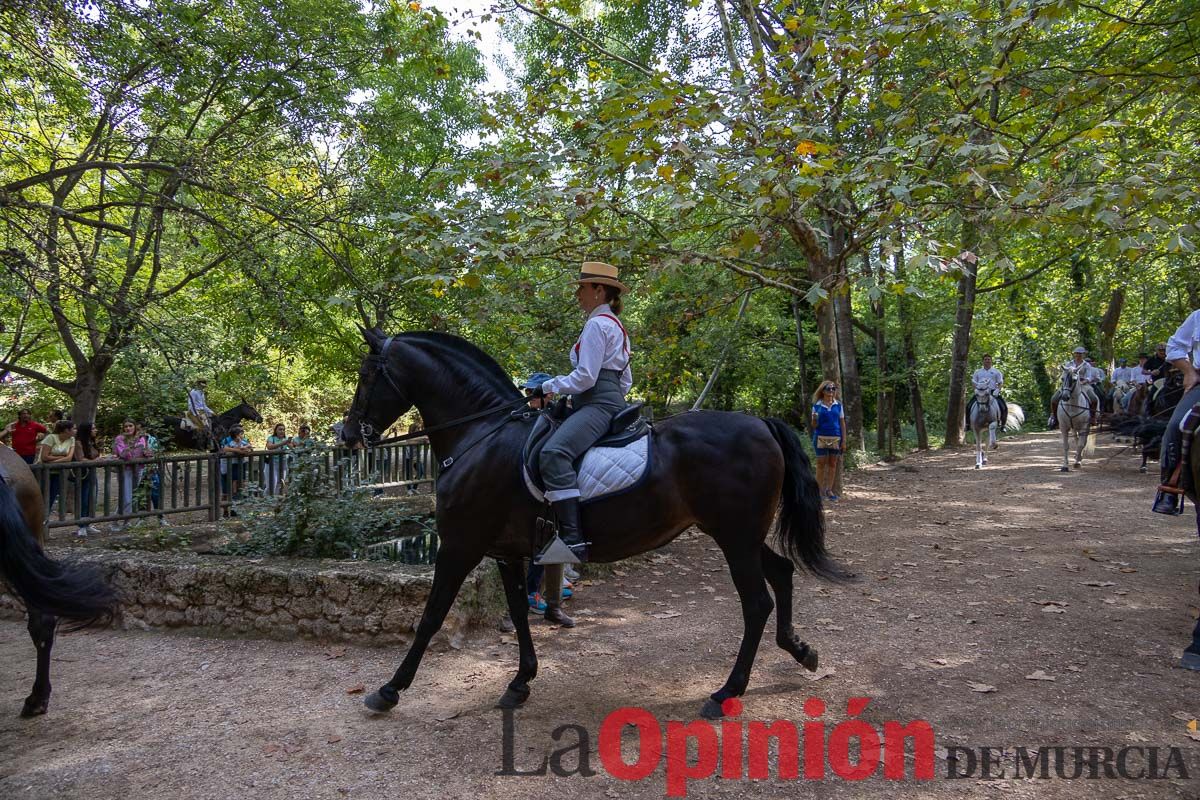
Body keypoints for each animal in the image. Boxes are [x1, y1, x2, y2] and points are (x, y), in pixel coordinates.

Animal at [343, 328, 840, 714]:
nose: (345, 434)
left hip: (734, 537)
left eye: (367, 375)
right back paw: (802, 651)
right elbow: (519, 613)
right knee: (782, 573)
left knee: (756, 603)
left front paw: (389, 690)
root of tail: (760, 423)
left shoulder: (459, 546)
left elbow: (430, 616)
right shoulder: (506, 553)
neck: (480, 436)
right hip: (741, 535)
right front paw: (520, 682)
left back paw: (725, 693)